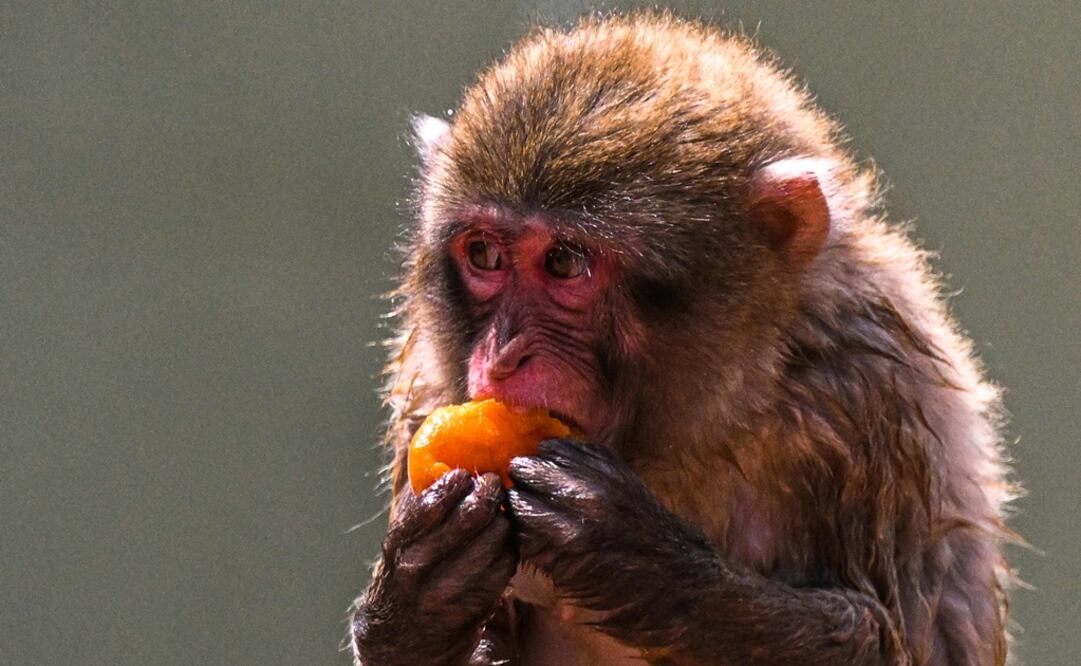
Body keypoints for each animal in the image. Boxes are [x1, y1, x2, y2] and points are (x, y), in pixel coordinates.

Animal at [351, 12, 1017, 666]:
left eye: (565, 263)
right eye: (485, 255)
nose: (504, 354)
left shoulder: (871, 395)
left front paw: (638, 559)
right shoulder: (425, 388)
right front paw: (417, 600)